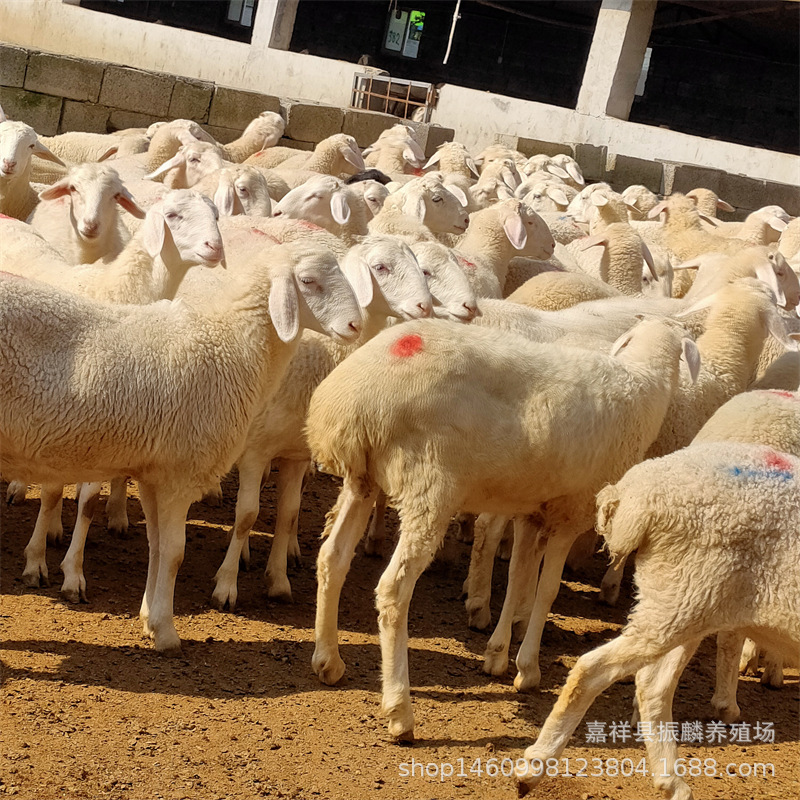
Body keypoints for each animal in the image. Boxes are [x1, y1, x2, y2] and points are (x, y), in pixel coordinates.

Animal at [1, 240, 362, 651]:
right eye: (308, 280)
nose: (356, 325)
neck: (229, 345)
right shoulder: (180, 473)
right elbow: (175, 553)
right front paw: (166, 631)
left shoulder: (154, 473)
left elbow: (157, 546)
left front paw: (148, 618)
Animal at [306, 316, 692, 739]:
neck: (643, 382)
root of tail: (357, 395)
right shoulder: (571, 511)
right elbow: (546, 590)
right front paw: (528, 670)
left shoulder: (531, 511)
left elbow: (518, 580)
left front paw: (498, 655)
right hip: (430, 484)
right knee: (393, 589)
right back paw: (399, 711)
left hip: (363, 479)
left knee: (332, 558)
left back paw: (328, 661)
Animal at [516, 442, 800, 800]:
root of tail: (640, 493)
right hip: (683, 600)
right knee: (592, 670)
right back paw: (534, 765)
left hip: (686, 601)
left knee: (652, 685)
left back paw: (671, 782)